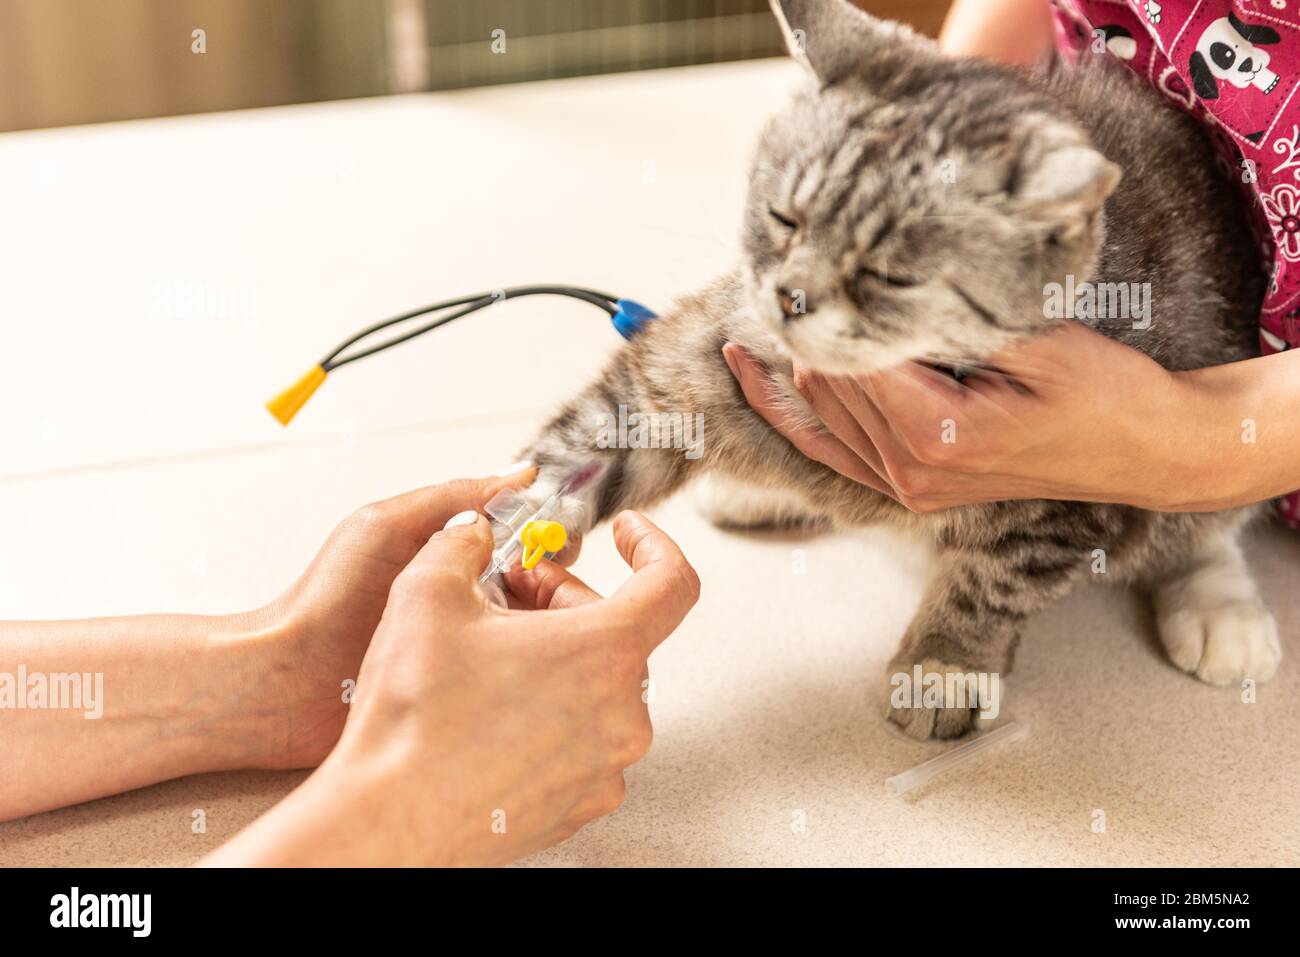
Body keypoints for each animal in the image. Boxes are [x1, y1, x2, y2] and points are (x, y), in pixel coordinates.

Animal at [509, 0, 1279, 738]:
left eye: (889, 275)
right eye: (784, 218)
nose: (791, 297)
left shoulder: (1066, 492)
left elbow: (990, 581)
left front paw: (944, 665)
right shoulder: (685, 366)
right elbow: (583, 448)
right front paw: (520, 522)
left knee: (1202, 524)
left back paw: (1221, 606)